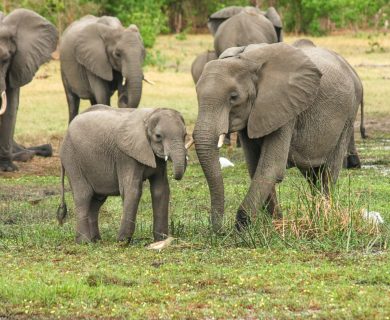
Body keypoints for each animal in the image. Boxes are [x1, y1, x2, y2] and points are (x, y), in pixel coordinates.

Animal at [56, 105, 187, 242]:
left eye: (185, 135)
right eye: (158, 136)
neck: (149, 115)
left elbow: (161, 190)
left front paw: (161, 240)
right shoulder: (126, 156)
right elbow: (132, 190)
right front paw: (122, 241)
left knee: (96, 200)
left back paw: (96, 240)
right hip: (72, 159)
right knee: (83, 196)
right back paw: (84, 242)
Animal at [193, 41, 364, 231]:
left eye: (233, 97)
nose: (219, 230)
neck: (246, 60)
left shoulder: (285, 108)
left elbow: (271, 168)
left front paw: (242, 228)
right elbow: (255, 167)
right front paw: (276, 224)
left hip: (349, 114)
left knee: (328, 172)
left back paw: (323, 218)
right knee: (312, 173)